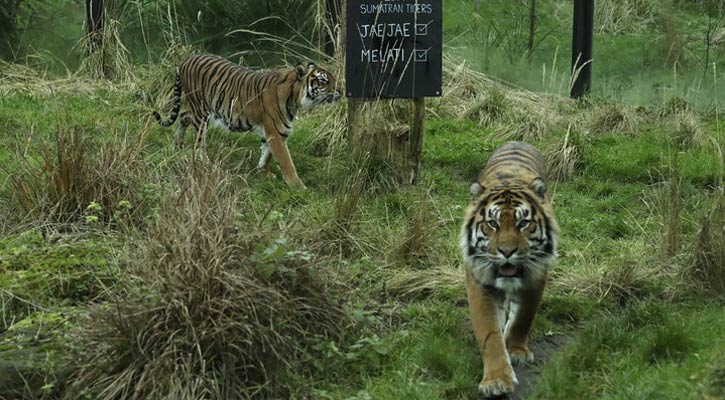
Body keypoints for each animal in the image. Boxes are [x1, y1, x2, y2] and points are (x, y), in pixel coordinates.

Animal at [153, 53, 340, 189]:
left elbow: (266, 154)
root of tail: (185, 59)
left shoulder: (273, 132)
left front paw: (263, 173)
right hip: (201, 111)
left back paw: (177, 145)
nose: (339, 92)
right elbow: (286, 162)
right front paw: (298, 187)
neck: (294, 98)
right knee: (198, 141)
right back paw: (203, 162)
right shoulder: (276, 133)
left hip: (200, 110)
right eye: (323, 80)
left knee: (184, 116)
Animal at [460, 141, 556, 396]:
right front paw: (496, 381)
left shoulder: (537, 274)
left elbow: (524, 316)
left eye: (523, 223)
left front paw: (515, 350)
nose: (507, 251)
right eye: (492, 223)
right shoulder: (480, 280)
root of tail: (517, 141)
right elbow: (489, 333)